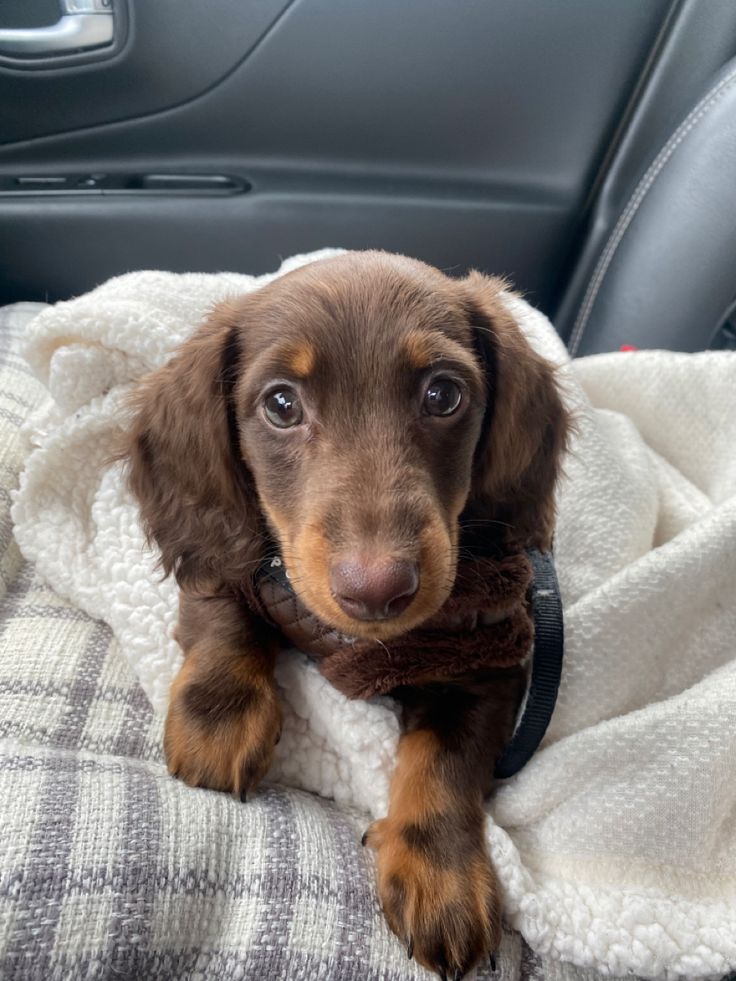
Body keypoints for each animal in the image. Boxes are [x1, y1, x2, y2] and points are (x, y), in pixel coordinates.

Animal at [122, 249, 568, 976]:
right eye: (281, 403)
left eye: (443, 395)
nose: (378, 590)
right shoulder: (225, 554)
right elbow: (225, 617)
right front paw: (219, 716)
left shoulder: (486, 667)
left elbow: (444, 763)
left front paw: (442, 876)